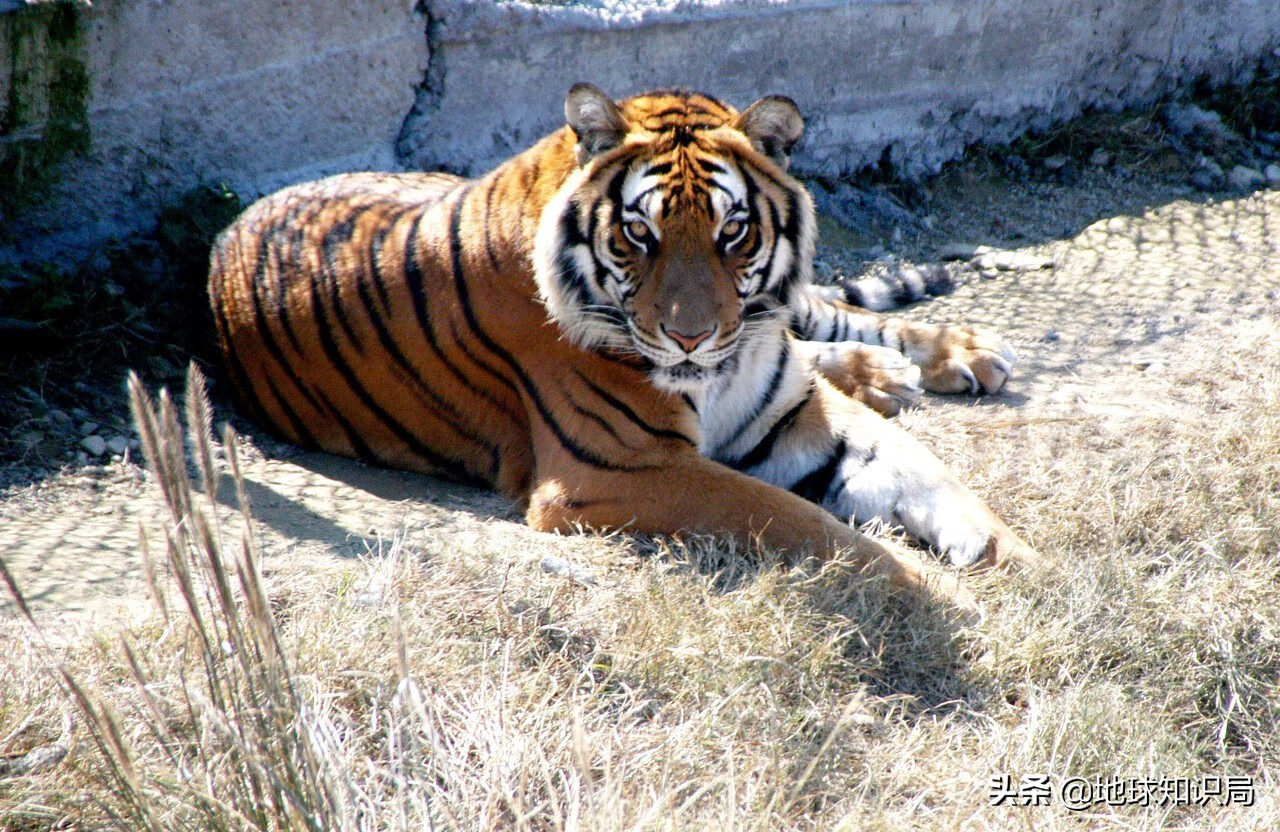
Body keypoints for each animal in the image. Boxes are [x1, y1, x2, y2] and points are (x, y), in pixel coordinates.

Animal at [209, 85, 1044, 601]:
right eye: (639, 233)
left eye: (732, 232)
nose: (691, 336)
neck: (725, 363)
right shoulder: (621, 466)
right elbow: (791, 516)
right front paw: (925, 585)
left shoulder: (795, 411)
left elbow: (928, 473)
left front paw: (1019, 559)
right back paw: (889, 371)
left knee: (829, 312)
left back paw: (950, 355)